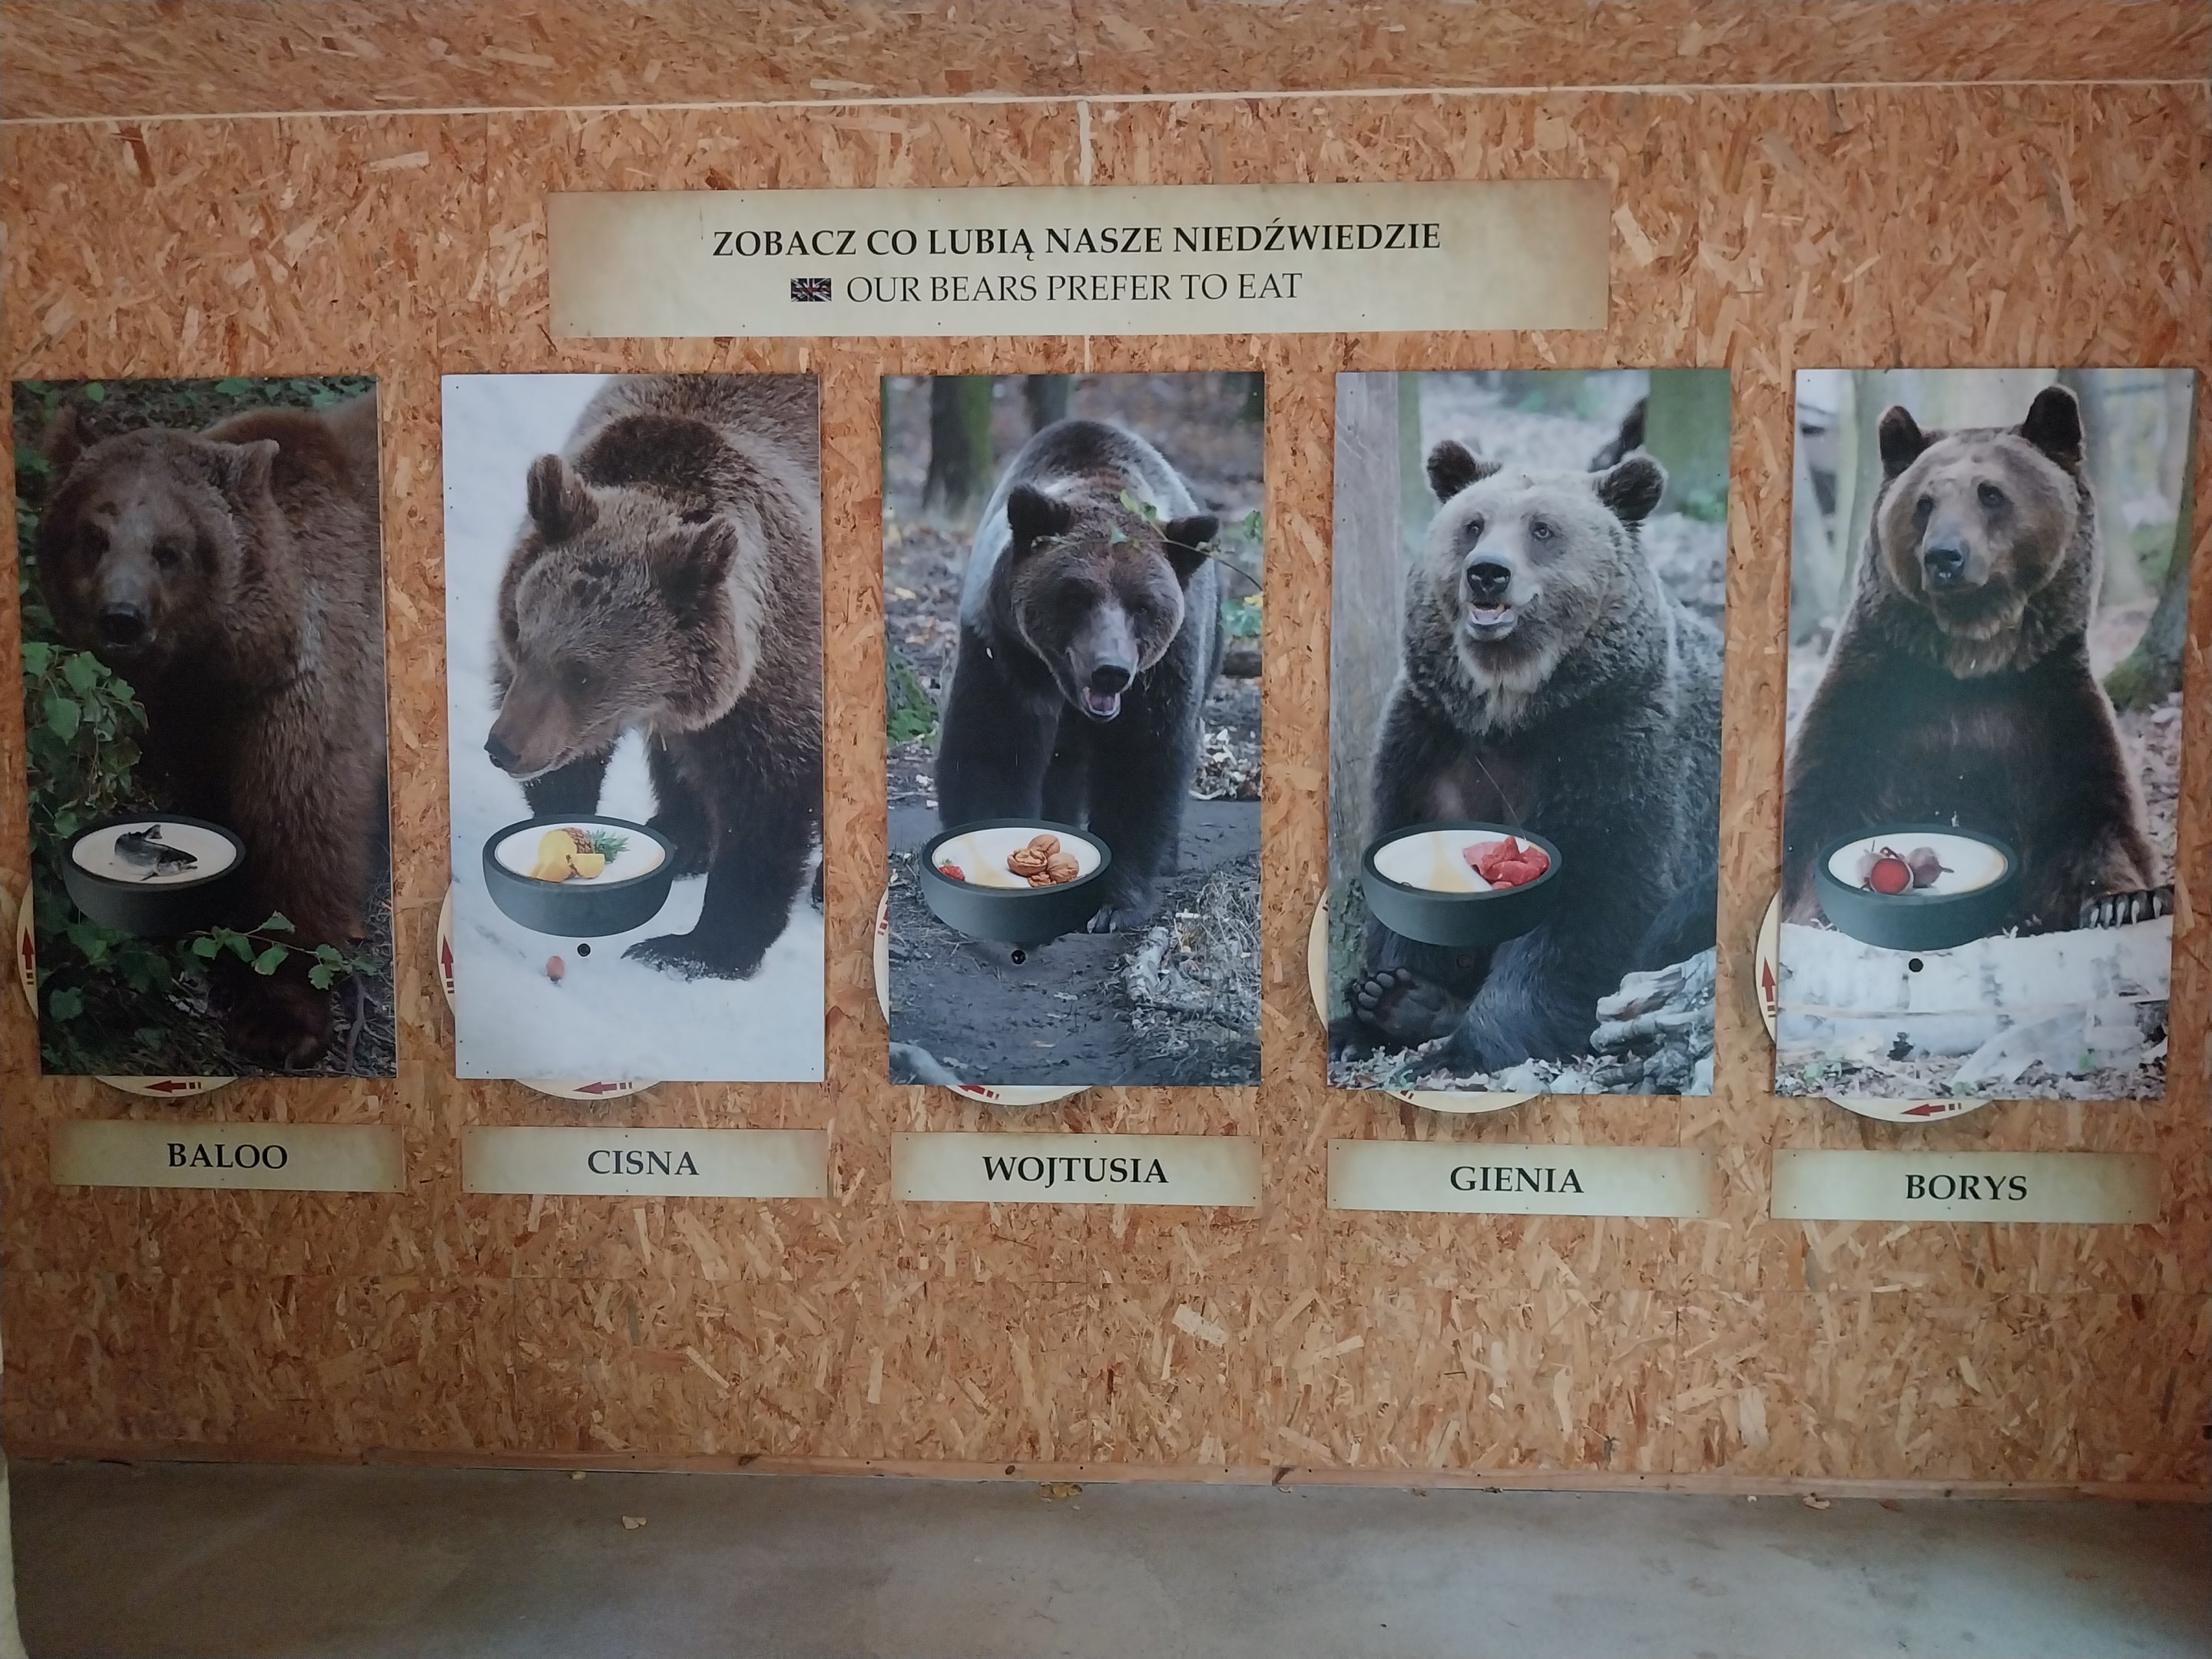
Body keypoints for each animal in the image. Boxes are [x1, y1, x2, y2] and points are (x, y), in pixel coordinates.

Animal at [36, 388, 389, 1068]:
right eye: (93, 536)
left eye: (169, 550)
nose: (121, 617)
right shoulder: (188, 724)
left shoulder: (301, 695)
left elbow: (297, 835)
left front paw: (278, 1016)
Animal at [484, 374, 822, 980]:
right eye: (522, 637)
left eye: (583, 674)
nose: (503, 747)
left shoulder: (777, 675)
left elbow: (768, 810)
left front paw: (699, 947)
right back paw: (681, 835)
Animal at [934, 418, 1221, 932]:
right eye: (1075, 595)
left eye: (1143, 605)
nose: (1111, 672)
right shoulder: (1005, 652)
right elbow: (993, 748)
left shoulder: (1163, 673)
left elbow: (1142, 763)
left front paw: (1114, 904)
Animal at [1331, 438, 1725, 1076]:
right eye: (1473, 524)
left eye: (1543, 529)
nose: (1488, 573)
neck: (1512, 714)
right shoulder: (1430, 744)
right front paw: (1379, 1002)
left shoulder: (1614, 739)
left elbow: (1591, 900)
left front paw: (1460, 1048)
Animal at [1781, 385, 2162, 933]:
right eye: (1923, 502)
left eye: (1991, 493)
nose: (1944, 556)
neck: (1973, 658)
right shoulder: (1867, 706)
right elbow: (1816, 813)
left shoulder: (2054, 710)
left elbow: (2097, 822)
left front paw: (2126, 901)